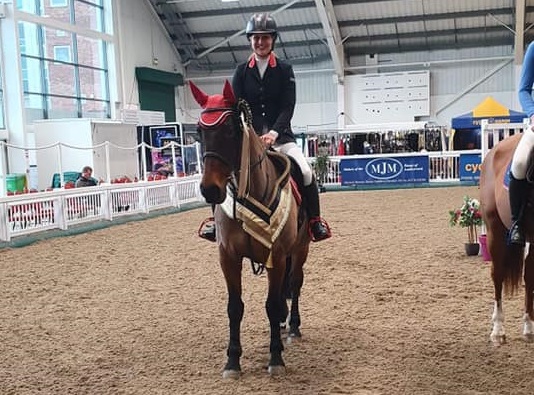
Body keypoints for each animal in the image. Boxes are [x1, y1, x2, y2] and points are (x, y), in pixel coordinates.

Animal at [191, 79, 312, 378]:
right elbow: (235, 308)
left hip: (301, 249)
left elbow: (271, 304)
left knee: (295, 283)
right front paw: (232, 361)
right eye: (199, 131)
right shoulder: (228, 257)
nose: (210, 190)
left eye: (231, 129)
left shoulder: (276, 256)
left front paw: (276, 358)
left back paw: (292, 327)